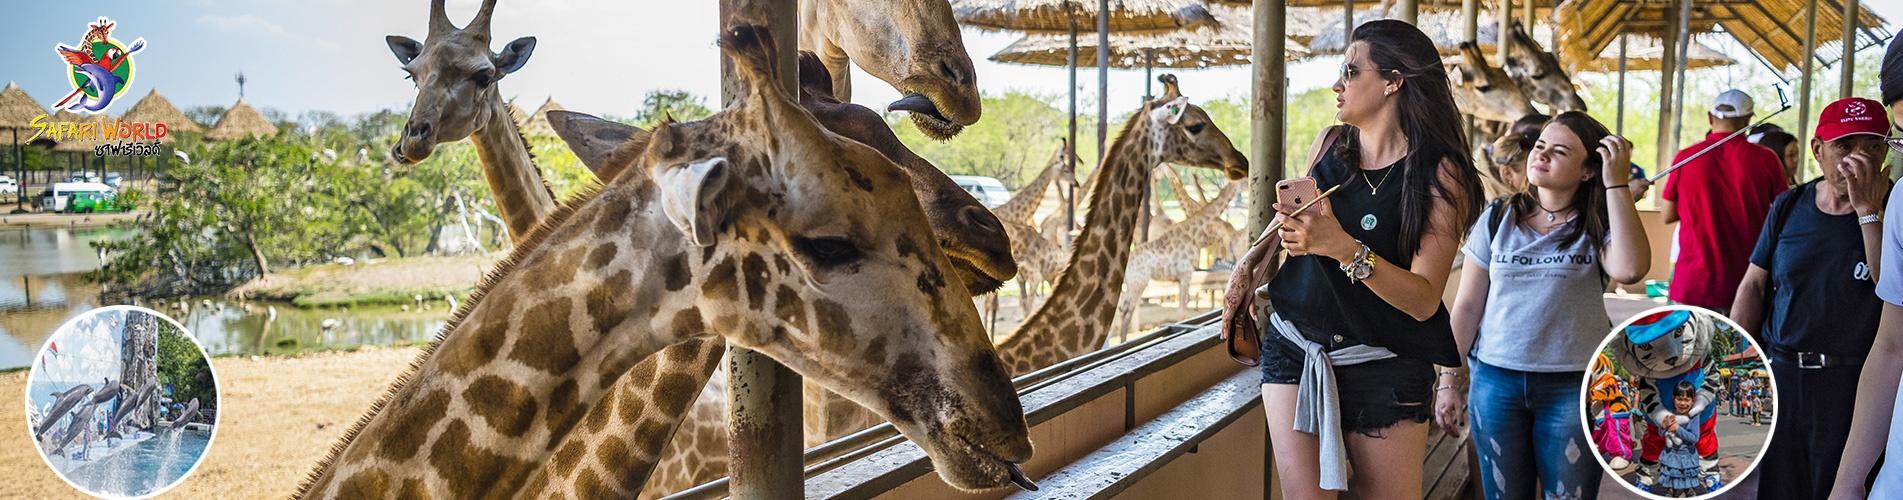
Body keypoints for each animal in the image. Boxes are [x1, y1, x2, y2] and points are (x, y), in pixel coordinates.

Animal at [1111, 183, 1248, 340]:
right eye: (1241, 183)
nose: (1246, 185)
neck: (1192, 233)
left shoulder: (1185, 277)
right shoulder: (1186, 275)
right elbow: (1182, 311)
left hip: (1131, 284)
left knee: (1123, 309)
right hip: (1138, 283)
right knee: (1126, 310)